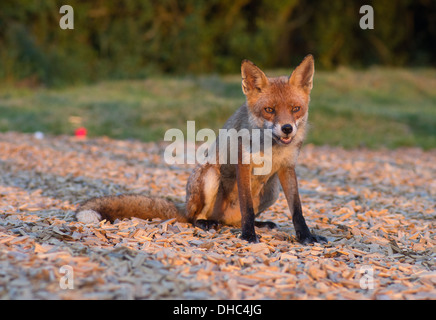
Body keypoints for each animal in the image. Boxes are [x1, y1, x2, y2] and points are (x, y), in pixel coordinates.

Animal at [76, 55, 326, 245]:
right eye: (269, 110)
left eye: (296, 109)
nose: (287, 129)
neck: (272, 149)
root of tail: (185, 206)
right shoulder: (243, 165)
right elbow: (247, 206)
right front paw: (248, 235)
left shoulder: (287, 168)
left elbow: (297, 210)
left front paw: (306, 236)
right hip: (209, 176)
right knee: (193, 218)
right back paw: (207, 223)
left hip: (272, 190)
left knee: (235, 220)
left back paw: (257, 223)